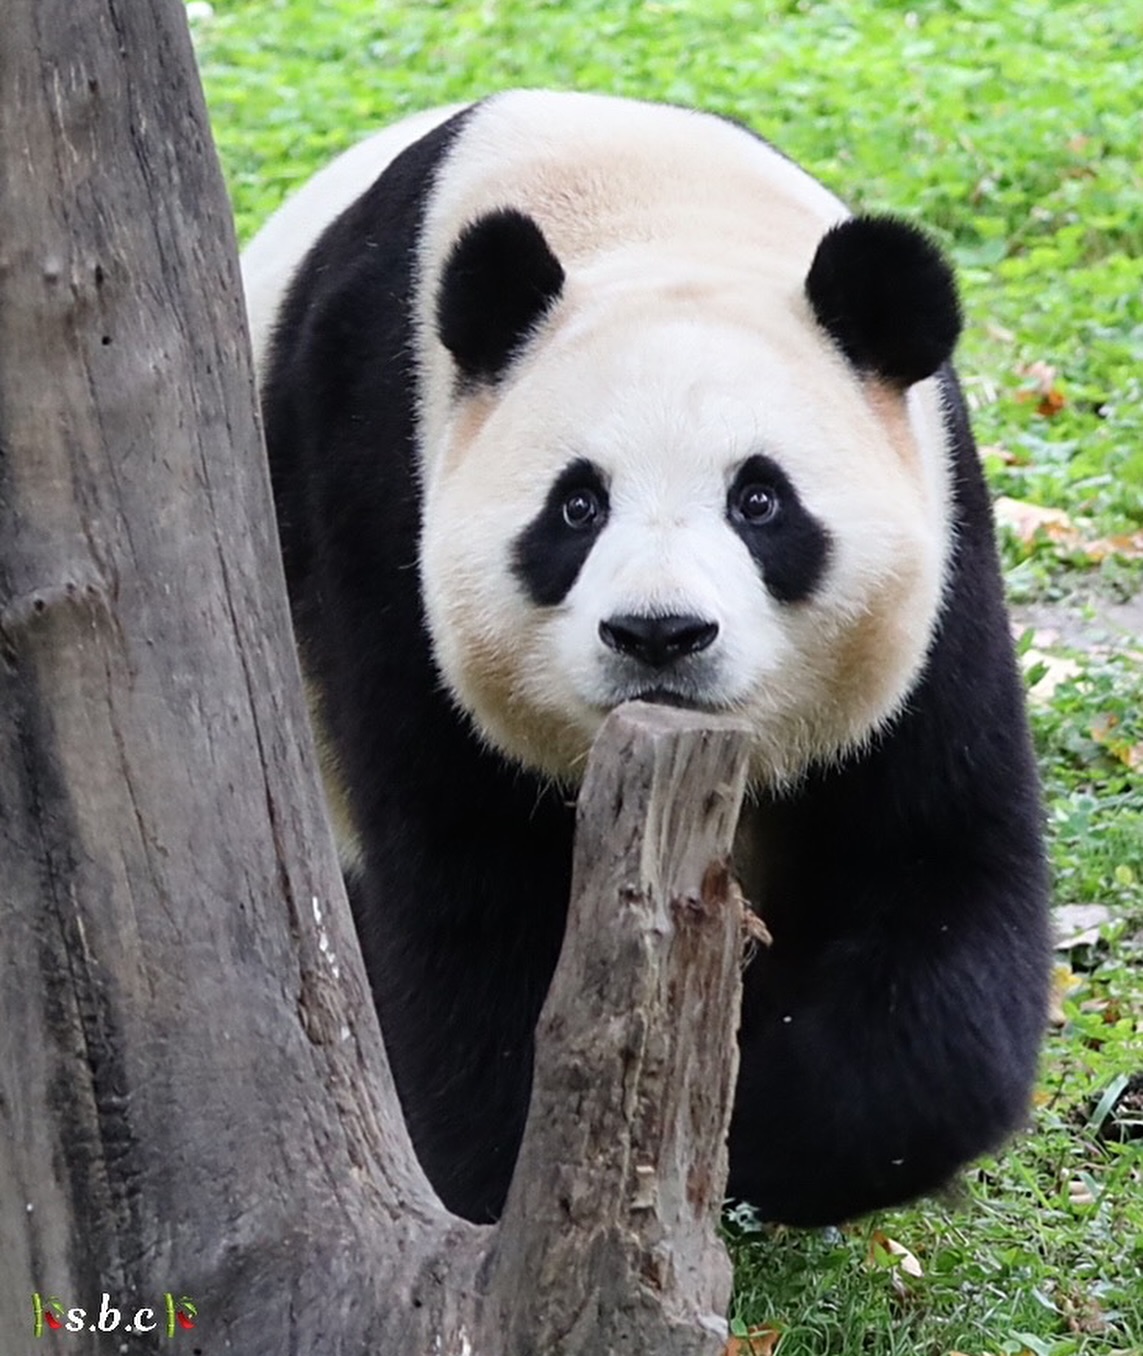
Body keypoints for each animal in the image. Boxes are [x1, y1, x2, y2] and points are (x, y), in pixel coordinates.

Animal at [245, 87, 1052, 1231]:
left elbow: (933, 868)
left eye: (759, 500)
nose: (659, 634)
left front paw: (761, 1116)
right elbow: (467, 890)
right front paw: (530, 1164)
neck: (643, 211)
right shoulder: (375, 483)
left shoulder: (942, 555)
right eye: (577, 507)